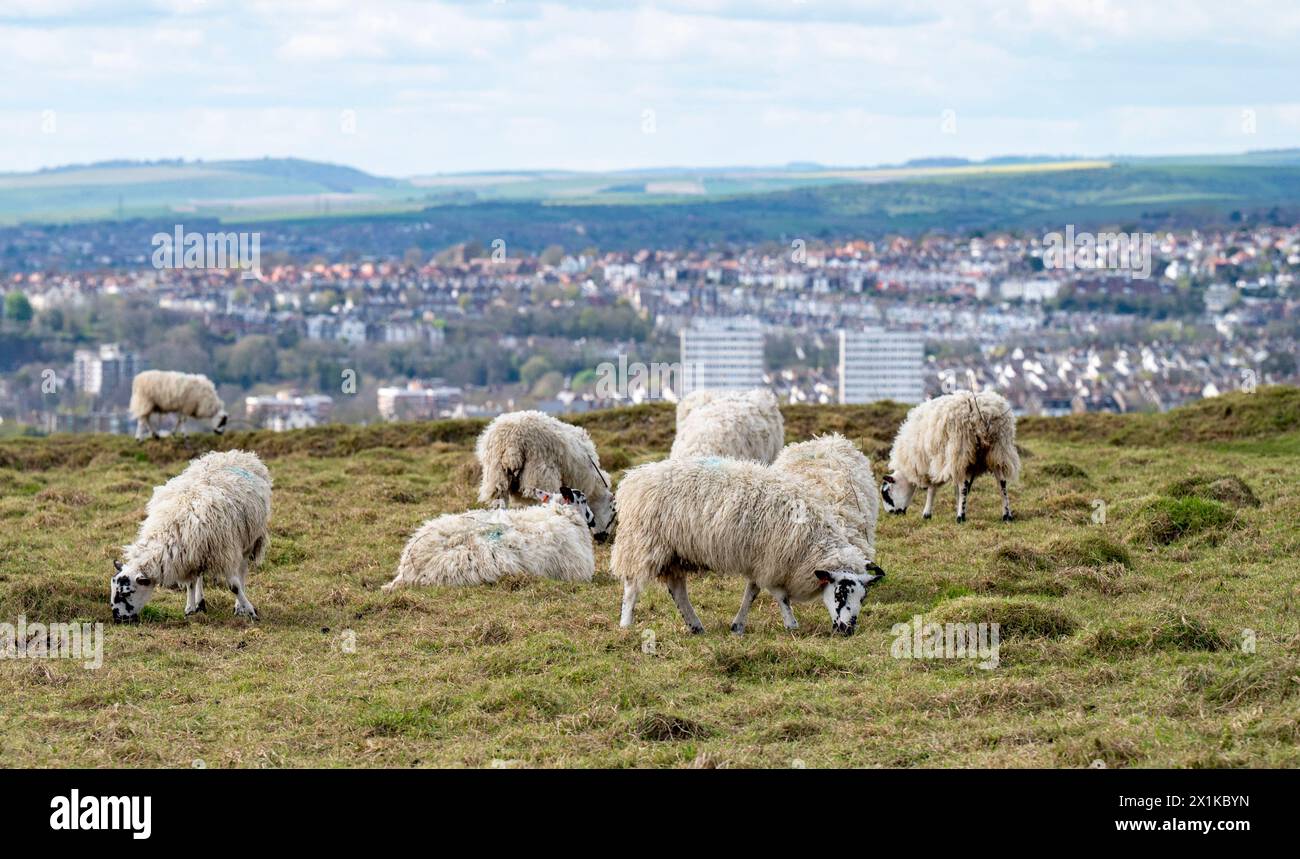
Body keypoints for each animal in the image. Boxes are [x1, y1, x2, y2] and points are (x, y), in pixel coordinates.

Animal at [111, 449, 271, 623]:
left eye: (127, 592)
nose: (118, 618)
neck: (170, 531)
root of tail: (237, 453)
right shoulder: (187, 556)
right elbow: (190, 583)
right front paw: (190, 608)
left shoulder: (223, 553)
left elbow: (234, 586)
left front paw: (249, 611)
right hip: (200, 551)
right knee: (199, 576)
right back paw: (200, 603)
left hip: (249, 539)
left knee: (242, 570)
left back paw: (238, 606)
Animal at [478, 410, 613, 543]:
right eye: (613, 513)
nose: (603, 538)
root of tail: (512, 440)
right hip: (539, 475)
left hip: (496, 475)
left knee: (499, 505)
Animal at [608, 454, 883, 636]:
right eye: (839, 593)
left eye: (863, 597)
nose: (847, 630)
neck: (812, 542)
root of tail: (634, 478)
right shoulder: (772, 560)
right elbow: (780, 596)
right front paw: (791, 625)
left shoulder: (761, 561)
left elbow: (751, 592)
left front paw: (737, 626)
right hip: (643, 544)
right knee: (632, 586)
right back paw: (626, 624)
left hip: (675, 553)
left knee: (678, 591)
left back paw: (695, 625)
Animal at [878, 389, 1019, 522]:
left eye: (886, 494)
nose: (892, 513)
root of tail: (980, 413)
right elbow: (956, 490)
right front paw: (958, 505)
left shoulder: (932, 463)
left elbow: (933, 488)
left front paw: (927, 514)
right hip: (998, 450)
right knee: (1002, 483)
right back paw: (1007, 515)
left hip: (961, 451)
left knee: (964, 485)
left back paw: (961, 517)